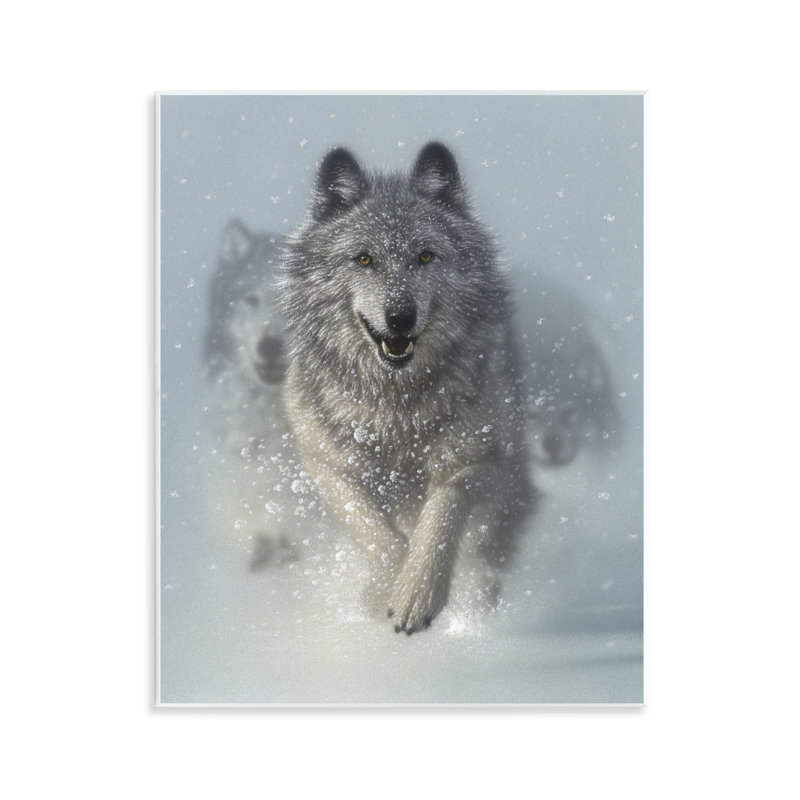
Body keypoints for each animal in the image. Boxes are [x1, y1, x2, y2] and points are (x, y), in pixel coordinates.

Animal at [279, 142, 534, 634]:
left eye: (426, 257)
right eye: (363, 259)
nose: (400, 317)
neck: (393, 409)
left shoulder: (485, 462)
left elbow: (443, 509)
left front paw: (417, 593)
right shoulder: (325, 465)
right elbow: (373, 530)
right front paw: (386, 587)